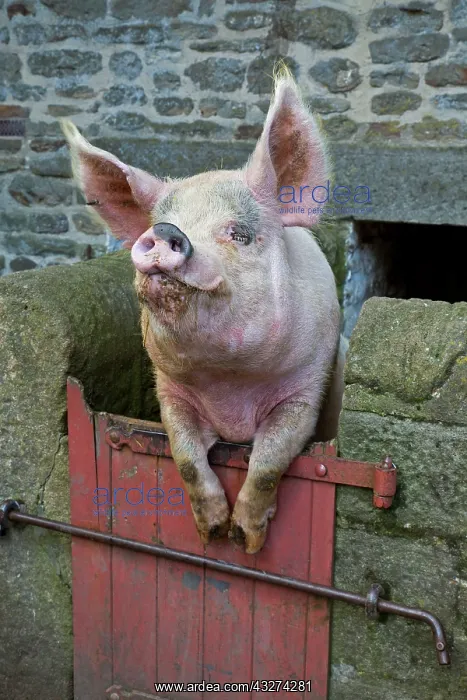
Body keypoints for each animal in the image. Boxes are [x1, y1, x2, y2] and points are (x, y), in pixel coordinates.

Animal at [62, 70, 346, 554]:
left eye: (239, 234)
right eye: (162, 222)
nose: (164, 230)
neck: (228, 383)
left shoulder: (307, 386)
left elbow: (268, 459)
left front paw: (244, 541)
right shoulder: (169, 391)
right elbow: (186, 457)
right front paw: (210, 533)